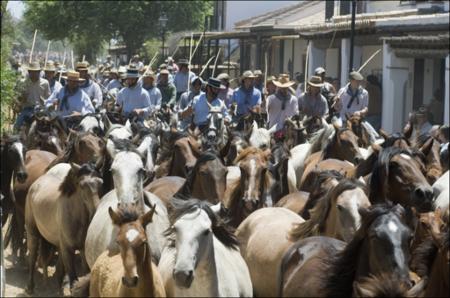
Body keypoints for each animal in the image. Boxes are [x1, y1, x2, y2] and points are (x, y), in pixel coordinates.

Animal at [24, 162, 103, 292]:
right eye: (82, 185)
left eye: (101, 182)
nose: (96, 212)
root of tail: (36, 183)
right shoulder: (68, 249)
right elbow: (73, 280)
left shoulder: (82, 249)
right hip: (33, 233)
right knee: (32, 257)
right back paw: (30, 287)